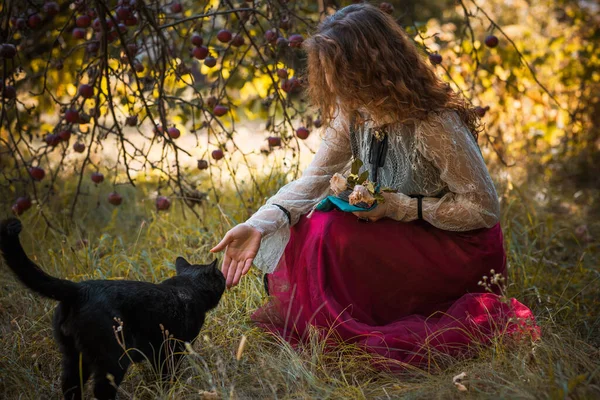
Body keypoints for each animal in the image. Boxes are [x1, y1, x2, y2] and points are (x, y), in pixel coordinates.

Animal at [0, 219, 225, 400]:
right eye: (221, 277)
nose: (225, 278)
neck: (187, 285)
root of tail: (79, 289)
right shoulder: (172, 348)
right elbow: (168, 375)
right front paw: (171, 390)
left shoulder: (158, 352)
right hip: (113, 358)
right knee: (101, 390)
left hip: (73, 356)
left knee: (70, 386)